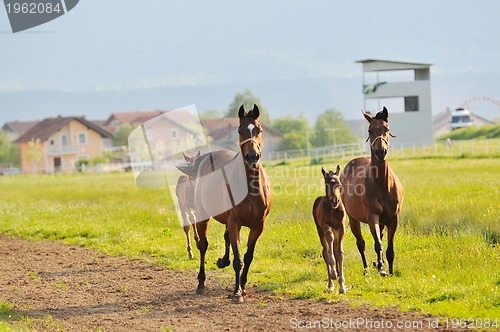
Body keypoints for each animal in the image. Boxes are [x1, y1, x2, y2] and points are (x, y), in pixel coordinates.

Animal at [192, 104, 272, 304]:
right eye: (240, 130)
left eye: (259, 129)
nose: (252, 156)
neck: (251, 188)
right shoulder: (235, 222)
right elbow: (238, 260)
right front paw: (237, 292)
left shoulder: (257, 226)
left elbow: (248, 256)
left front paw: (242, 285)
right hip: (204, 216)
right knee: (203, 245)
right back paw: (201, 283)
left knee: (226, 237)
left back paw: (222, 261)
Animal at [340, 107, 406, 276]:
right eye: (370, 130)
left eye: (386, 128)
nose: (380, 152)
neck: (382, 185)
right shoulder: (372, 216)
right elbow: (378, 244)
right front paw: (381, 269)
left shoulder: (393, 219)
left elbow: (389, 248)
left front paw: (390, 270)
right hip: (353, 219)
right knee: (360, 243)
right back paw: (366, 269)